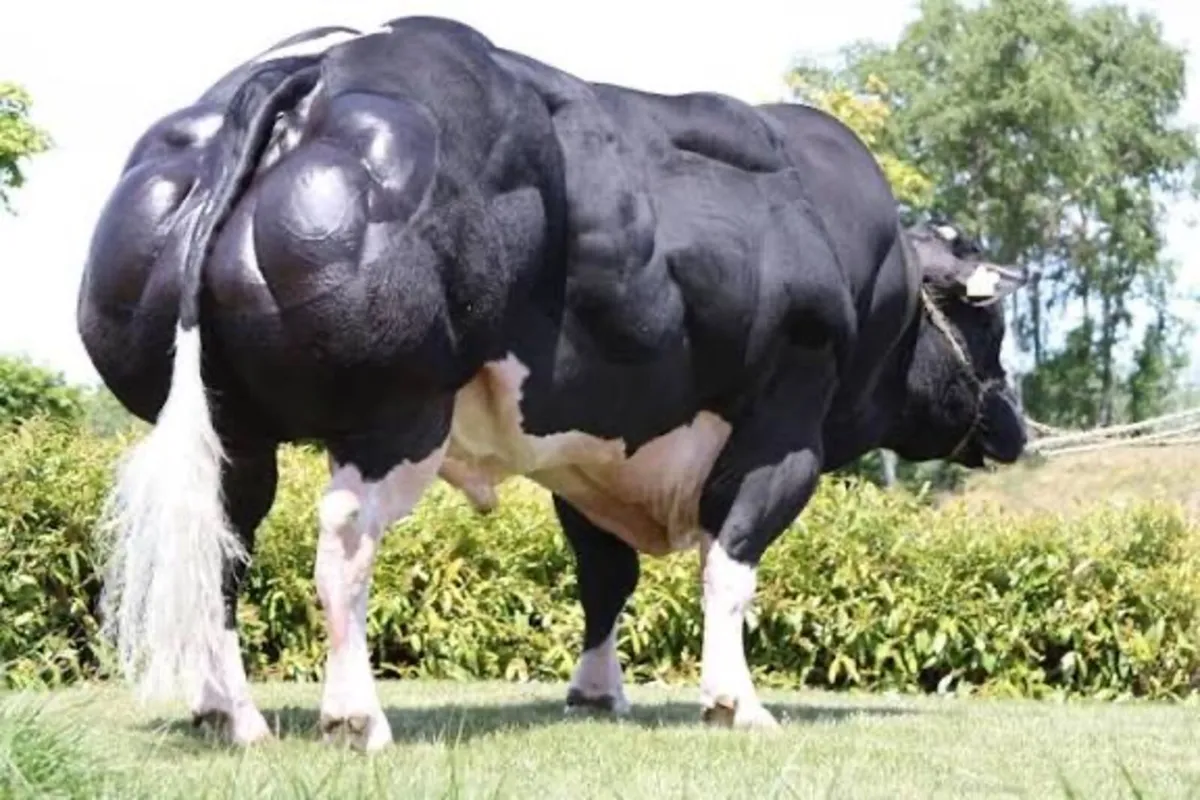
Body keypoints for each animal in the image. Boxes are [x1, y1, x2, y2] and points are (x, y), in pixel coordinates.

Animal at [76, 16, 1031, 751]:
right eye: (990, 322)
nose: (1016, 425)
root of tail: (321, 70)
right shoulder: (784, 433)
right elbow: (730, 565)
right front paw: (736, 703)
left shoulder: (596, 449)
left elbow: (605, 575)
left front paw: (598, 692)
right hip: (395, 411)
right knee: (344, 540)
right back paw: (355, 717)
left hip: (235, 427)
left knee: (224, 546)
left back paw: (230, 716)